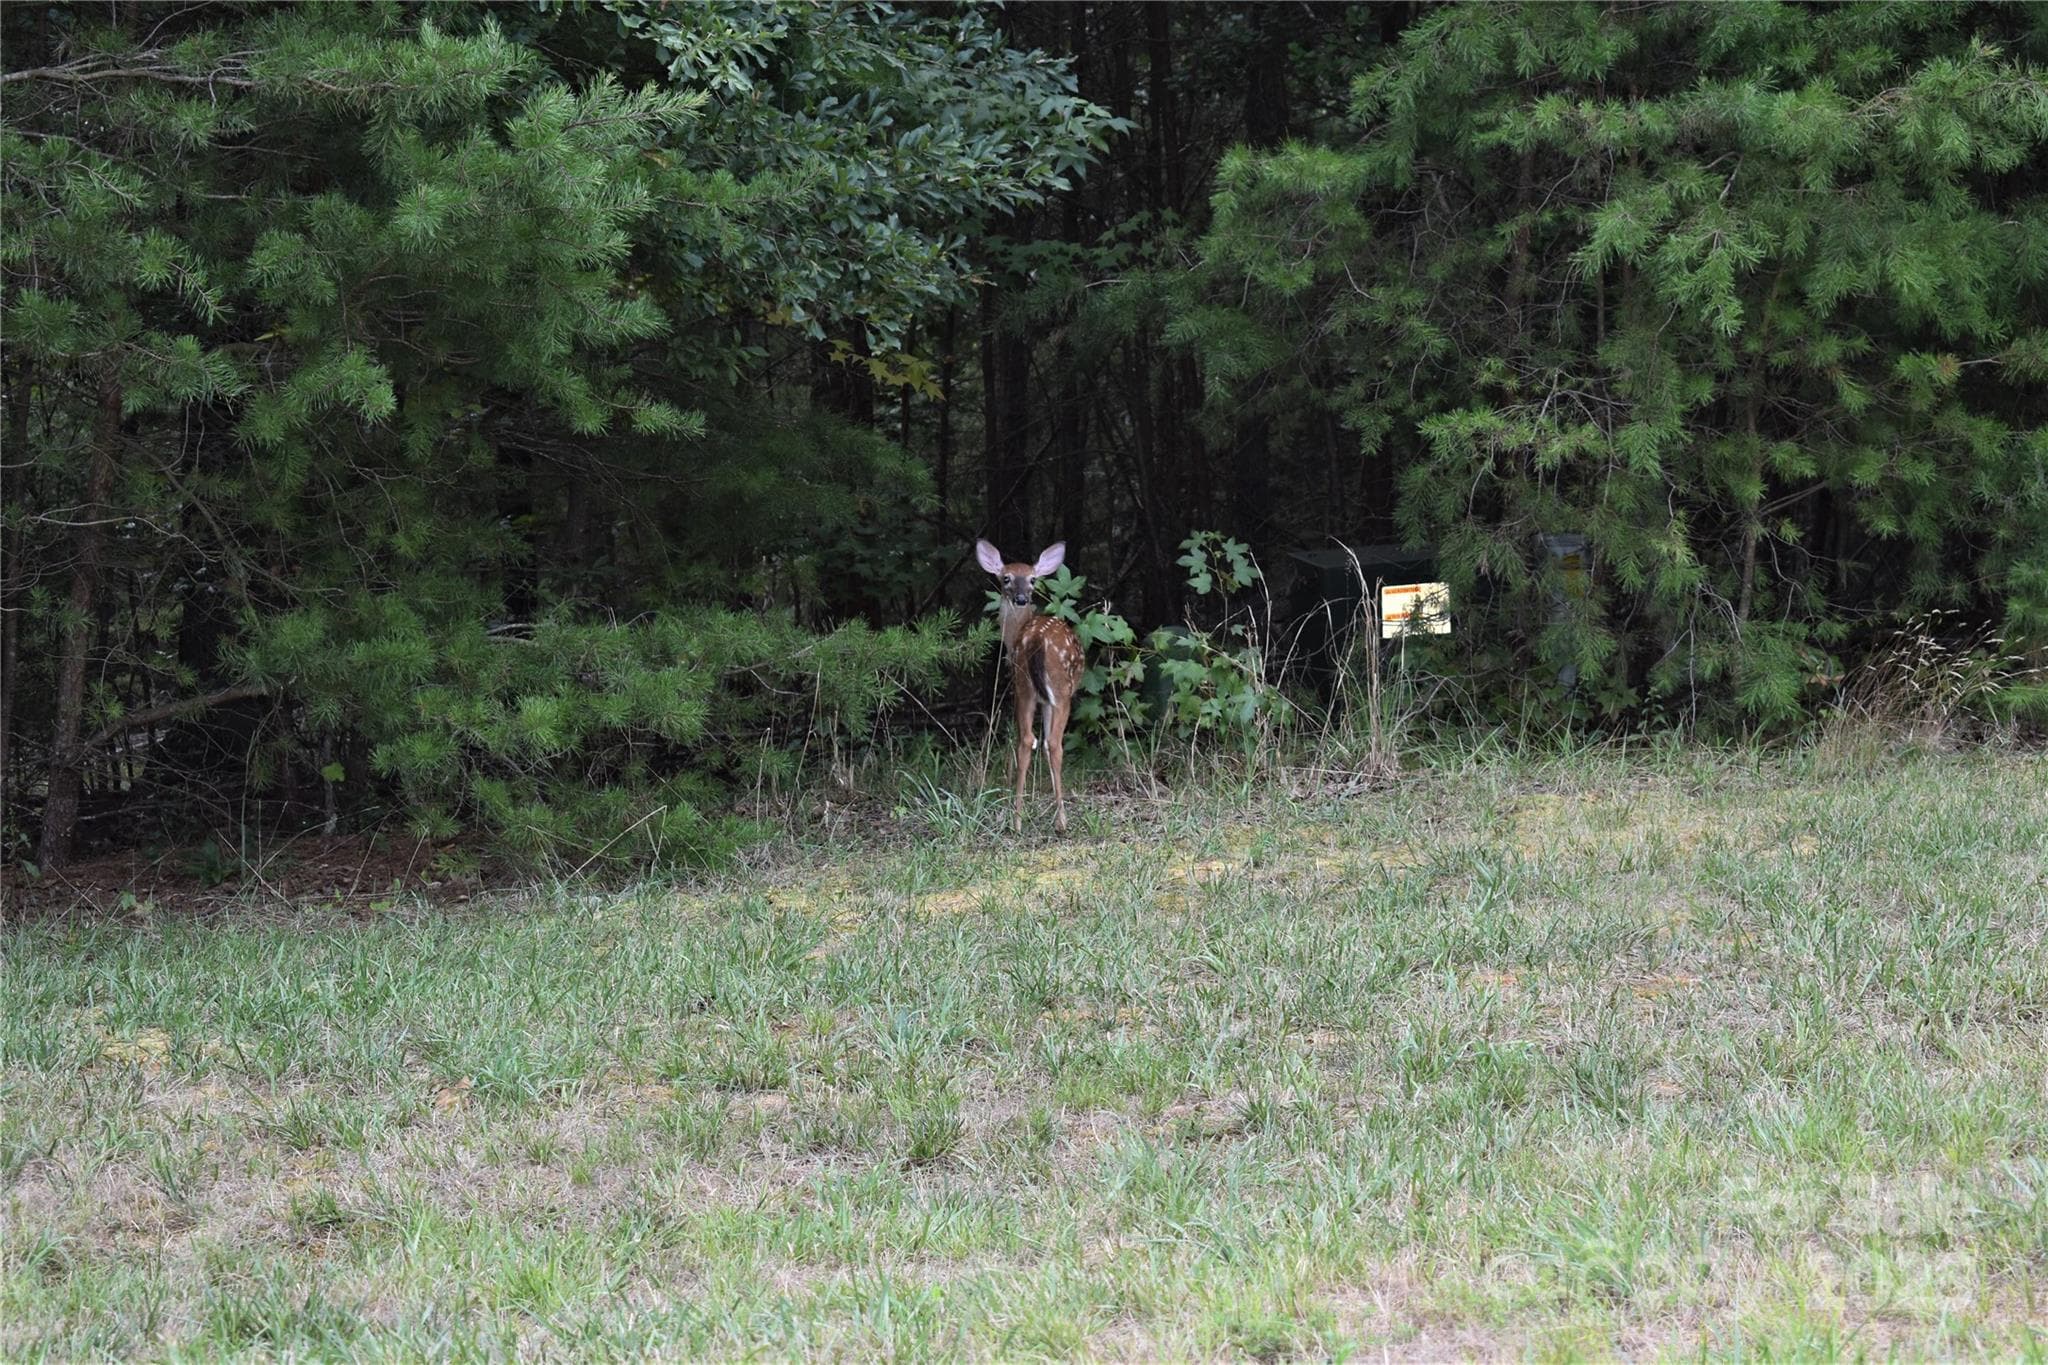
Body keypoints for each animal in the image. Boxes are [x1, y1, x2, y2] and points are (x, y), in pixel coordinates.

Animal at [976, 538, 1085, 833]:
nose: (1022, 598)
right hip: (1060, 691)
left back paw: (1016, 821)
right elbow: (1049, 744)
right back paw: (1061, 821)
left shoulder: (1038, 697)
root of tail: (1035, 638)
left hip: (1023, 686)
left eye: (1033, 579)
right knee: (1054, 743)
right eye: (1006, 578)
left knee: (1025, 740)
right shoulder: (1050, 699)